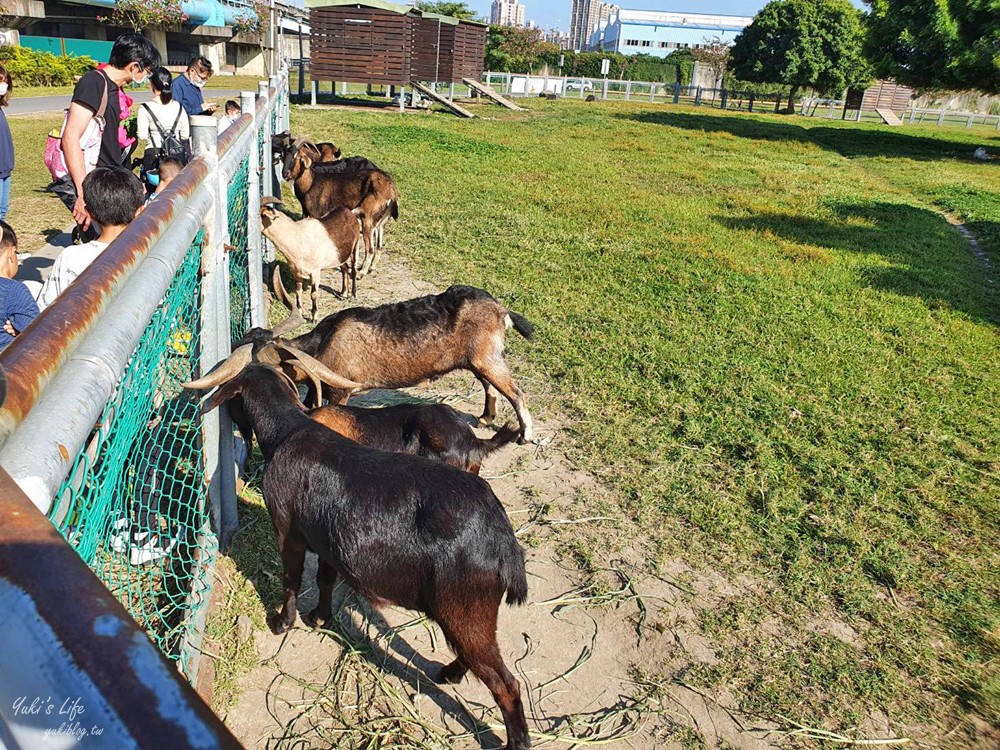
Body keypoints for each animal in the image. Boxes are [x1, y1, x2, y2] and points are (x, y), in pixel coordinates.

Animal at [185, 362, 536, 748]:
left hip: (466, 606)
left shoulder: (288, 531)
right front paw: (319, 617)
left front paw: (282, 622)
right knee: (475, 655)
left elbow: (291, 578)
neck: (290, 431)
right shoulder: (326, 538)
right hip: (469, 612)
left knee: (505, 683)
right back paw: (447, 674)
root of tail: (502, 537)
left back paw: (515, 740)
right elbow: (324, 578)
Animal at [241, 284, 536, 444]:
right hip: (479, 359)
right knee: (490, 387)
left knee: (516, 393)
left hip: (487, 358)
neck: (324, 341)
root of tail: (501, 311)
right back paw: (486, 418)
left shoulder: (339, 389)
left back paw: (526, 435)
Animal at [282, 145, 398, 278]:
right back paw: (370, 268)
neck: (311, 182)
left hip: (368, 217)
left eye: (297, 157)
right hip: (381, 221)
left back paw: (361, 273)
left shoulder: (315, 213)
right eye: (282, 156)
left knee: (370, 248)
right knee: (379, 245)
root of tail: (391, 190)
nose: (285, 174)